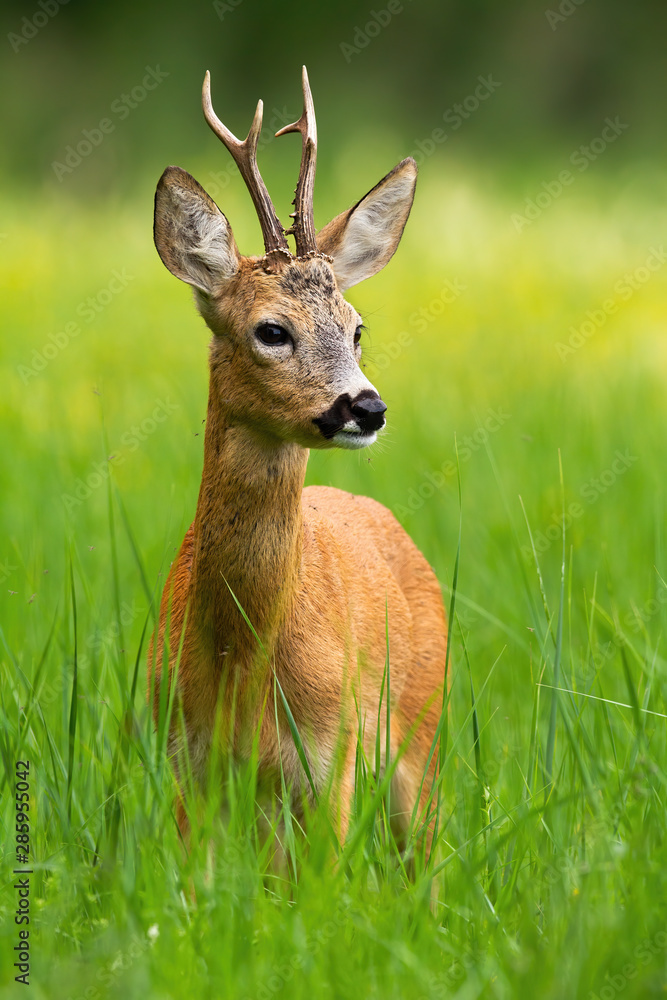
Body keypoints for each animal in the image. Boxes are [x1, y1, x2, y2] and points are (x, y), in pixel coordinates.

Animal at [151, 66, 448, 844]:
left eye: (356, 327)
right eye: (271, 330)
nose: (366, 407)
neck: (241, 665)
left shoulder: (328, 762)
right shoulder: (183, 764)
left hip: (422, 734)